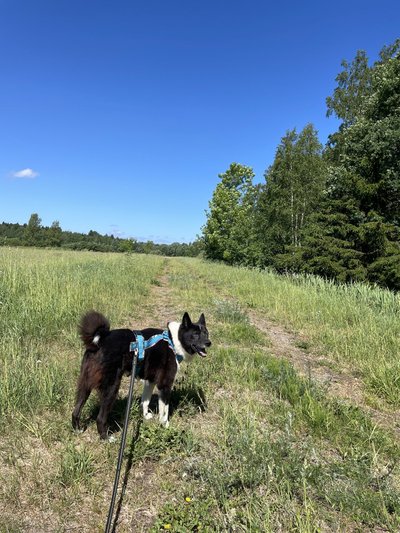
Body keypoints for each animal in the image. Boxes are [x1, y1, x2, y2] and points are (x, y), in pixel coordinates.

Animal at [72, 310, 211, 438]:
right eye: (195, 334)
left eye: (206, 333)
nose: (209, 343)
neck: (173, 340)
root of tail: (100, 340)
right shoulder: (165, 385)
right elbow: (165, 410)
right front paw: (165, 425)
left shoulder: (150, 381)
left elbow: (145, 401)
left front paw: (145, 416)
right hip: (112, 387)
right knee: (100, 418)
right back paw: (106, 438)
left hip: (85, 385)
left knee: (76, 410)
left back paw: (77, 429)